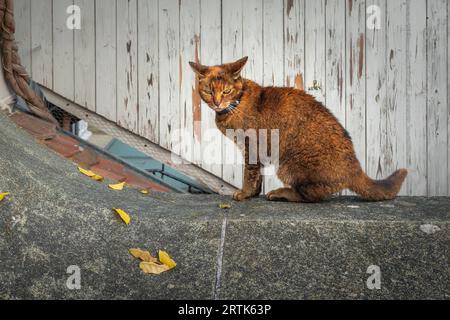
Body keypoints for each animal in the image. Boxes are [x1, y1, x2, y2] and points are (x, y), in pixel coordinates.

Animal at [190, 57, 408, 202]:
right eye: (208, 91)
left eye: (226, 91)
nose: (217, 102)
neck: (236, 103)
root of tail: (356, 167)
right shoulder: (255, 150)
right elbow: (258, 175)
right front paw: (253, 194)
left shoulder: (251, 144)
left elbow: (249, 173)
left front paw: (244, 194)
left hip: (287, 165)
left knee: (311, 195)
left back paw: (281, 193)